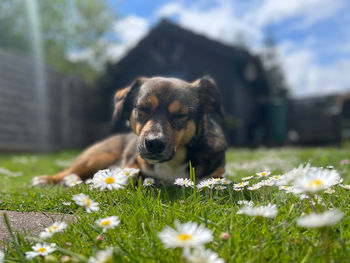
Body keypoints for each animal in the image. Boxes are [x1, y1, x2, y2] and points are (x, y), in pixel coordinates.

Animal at [32, 77, 227, 187]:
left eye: (180, 114)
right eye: (143, 108)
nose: (154, 144)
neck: (172, 161)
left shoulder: (217, 176)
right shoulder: (131, 163)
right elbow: (131, 173)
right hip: (95, 157)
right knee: (67, 171)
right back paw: (46, 179)